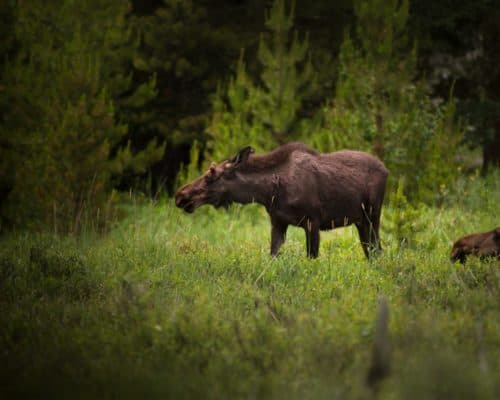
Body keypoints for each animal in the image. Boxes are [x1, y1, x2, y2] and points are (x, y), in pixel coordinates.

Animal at [174, 142, 388, 258]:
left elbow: (312, 257)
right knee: (370, 251)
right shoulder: (278, 222)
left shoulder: (313, 221)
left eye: (211, 173)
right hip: (360, 220)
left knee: (377, 250)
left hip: (373, 215)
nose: (181, 196)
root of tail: (387, 170)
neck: (268, 193)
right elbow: (273, 255)